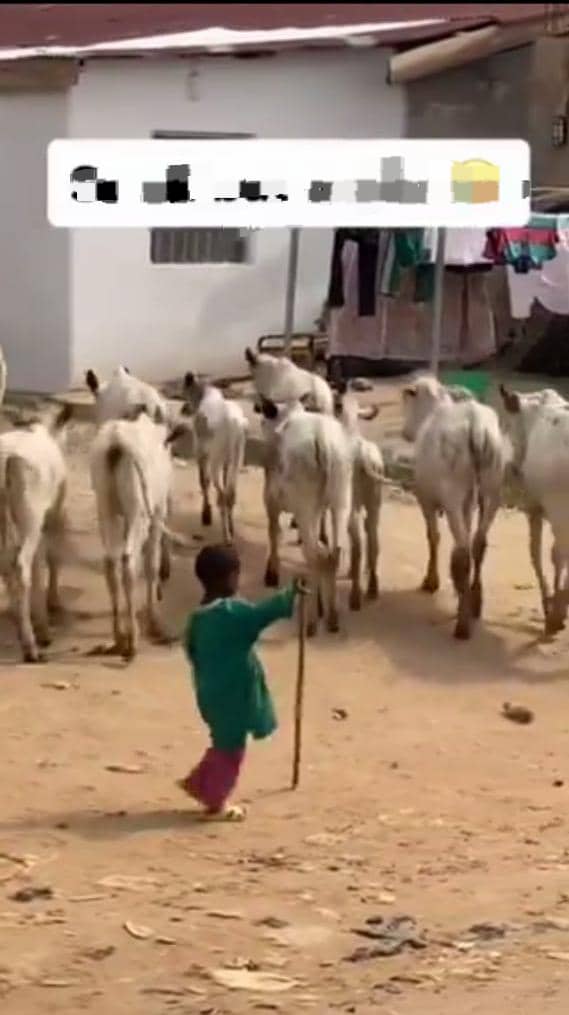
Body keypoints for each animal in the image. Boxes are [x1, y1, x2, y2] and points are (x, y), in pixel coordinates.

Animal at [0, 403, 72, 665]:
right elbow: (51, 558)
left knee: (9, 565)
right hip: (29, 518)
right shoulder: (55, 513)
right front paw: (51, 604)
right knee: (21, 566)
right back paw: (32, 644)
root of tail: (5, 457)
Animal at [89, 403, 189, 657]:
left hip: (106, 507)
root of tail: (117, 441)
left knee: (110, 562)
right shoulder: (158, 512)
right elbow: (151, 564)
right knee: (128, 560)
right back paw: (132, 640)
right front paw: (154, 620)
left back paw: (118, 635)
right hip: (138, 511)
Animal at [182, 373, 247, 544]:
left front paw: (206, 515)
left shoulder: (200, 451)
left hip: (215, 460)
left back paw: (226, 536)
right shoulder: (226, 461)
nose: (184, 409)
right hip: (237, 458)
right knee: (231, 493)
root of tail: (234, 424)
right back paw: (231, 529)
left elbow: (203, 481)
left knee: (222, 494)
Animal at [257, 395, 350, 633]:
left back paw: (311, 622)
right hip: (341, 497)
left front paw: (271, 573)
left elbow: (274, 532)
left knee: (314, 555)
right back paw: (332, 616)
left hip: (305, 504)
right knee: (333, 553)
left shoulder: (270, 499)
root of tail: (322, 439)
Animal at [399, 377, 505, 637]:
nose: (405, 433)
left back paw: (462, 624)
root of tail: (476, 426)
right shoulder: (468, 502)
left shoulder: (425, 498)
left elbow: (433, 537)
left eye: (409, 397)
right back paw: (474, 601)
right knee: (477, 543)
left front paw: (431, 580)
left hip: (453, 496)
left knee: (463, 552)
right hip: (491, 490)